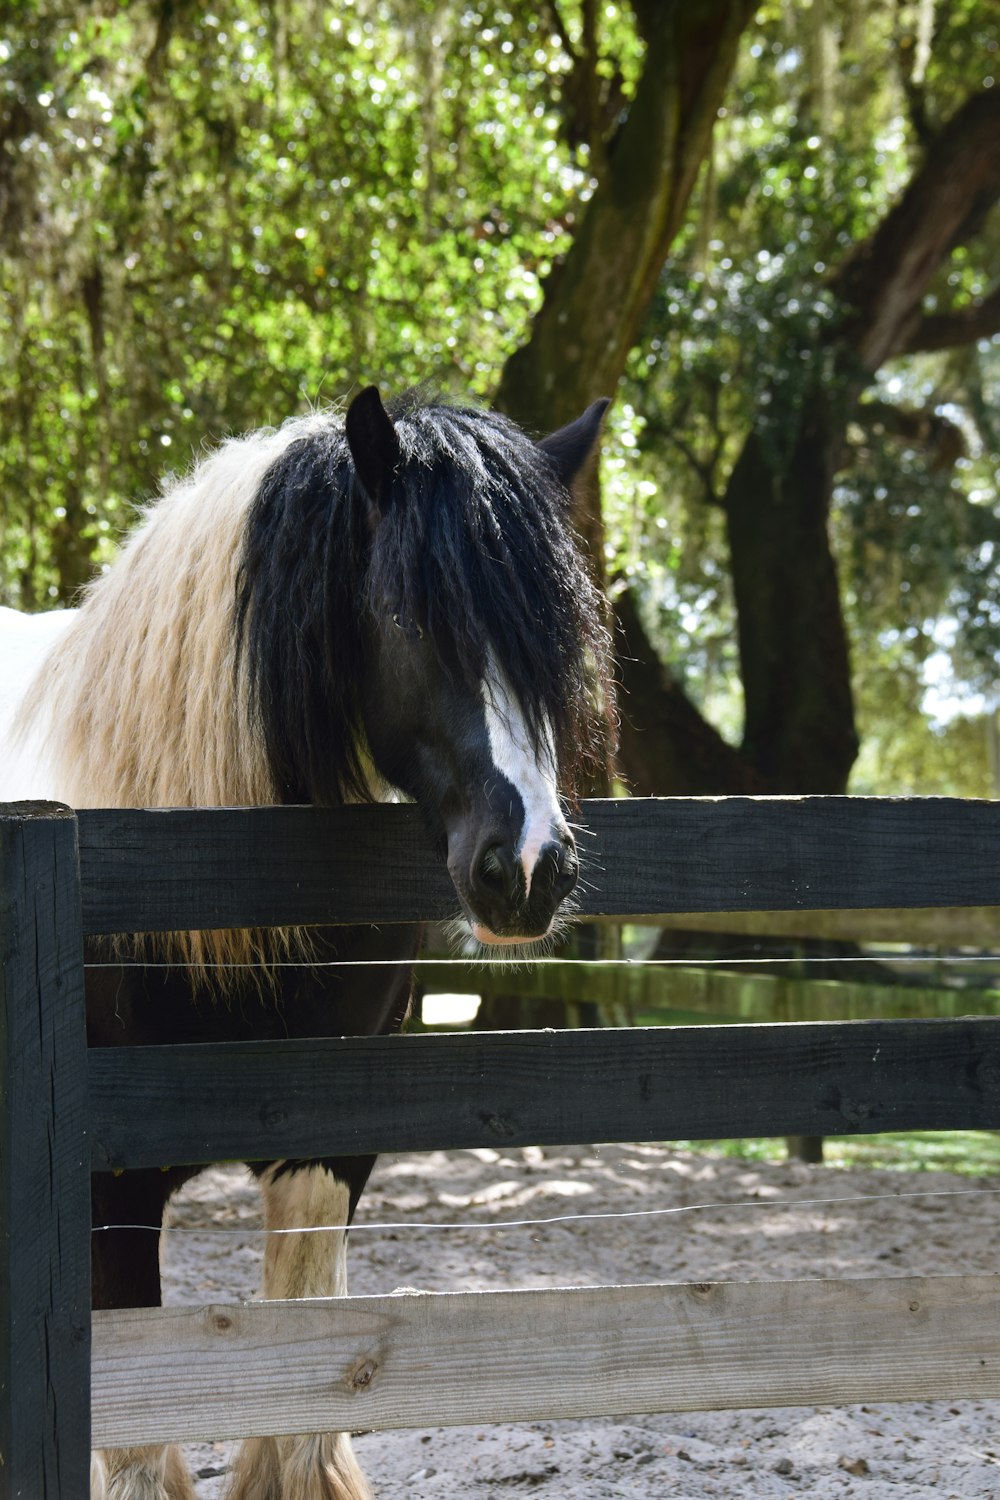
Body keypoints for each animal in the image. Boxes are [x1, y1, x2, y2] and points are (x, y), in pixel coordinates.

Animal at [0, 387, 614, 1500]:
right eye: (408, 616)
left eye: (553, 635)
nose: (529, 866)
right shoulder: (109, 1188)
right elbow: (142, 1448)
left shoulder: (329, 1152)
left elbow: (295, 1417)